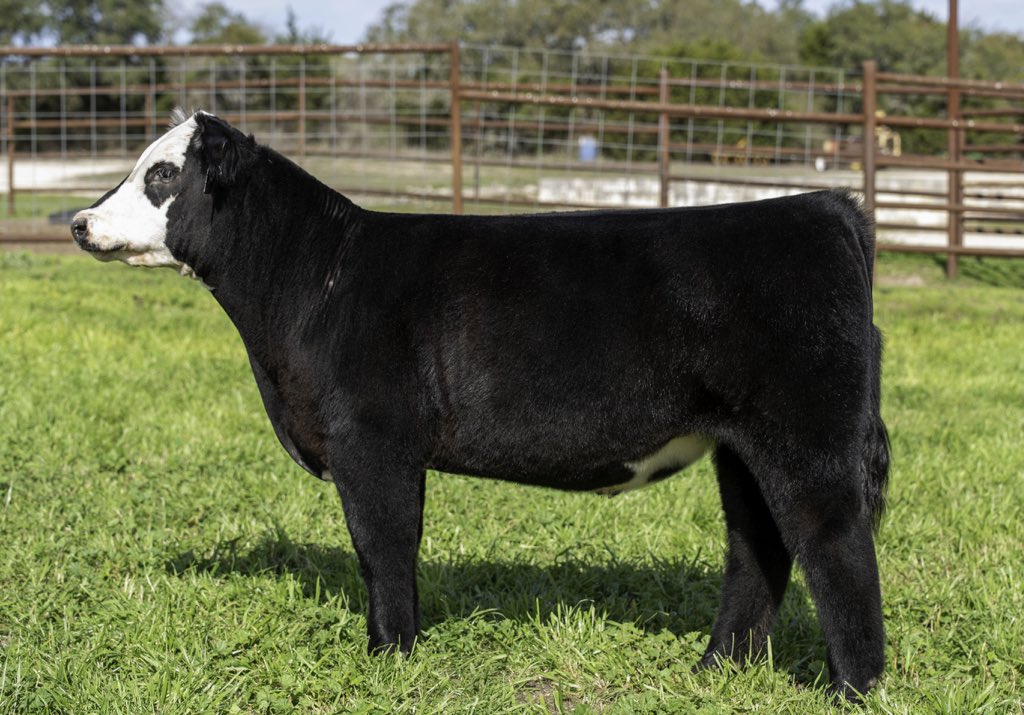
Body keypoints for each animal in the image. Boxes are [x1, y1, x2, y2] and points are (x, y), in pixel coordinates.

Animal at [71, 110, 889, 700]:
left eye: (162, 173)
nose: (79, 221)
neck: (317, 278)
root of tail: (827, 210)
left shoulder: (371, 441)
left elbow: (383, 547)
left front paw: (389, 656)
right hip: (742, 444)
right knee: (759, 548)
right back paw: (716, 670)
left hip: (807, 434)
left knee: (835, 545)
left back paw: (852, 689)